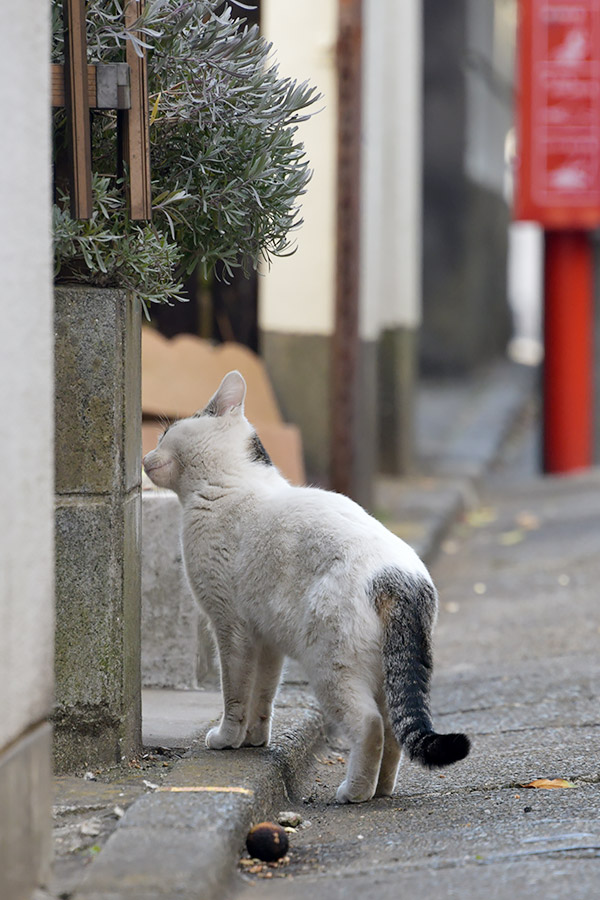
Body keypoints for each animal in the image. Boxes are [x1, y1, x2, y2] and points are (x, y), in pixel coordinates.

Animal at [144, 370, 468, 804]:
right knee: (394, 727)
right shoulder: (265, 637)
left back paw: (355, 792)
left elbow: (234, 692)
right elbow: (263, 692)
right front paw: (254, 738)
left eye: (165, 434)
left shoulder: (229, 626)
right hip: (385, 673)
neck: (230, 484)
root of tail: (401, 579)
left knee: (370, 725)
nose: (144, 456)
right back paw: (381, 789)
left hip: (331, 665)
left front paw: (227, 738)